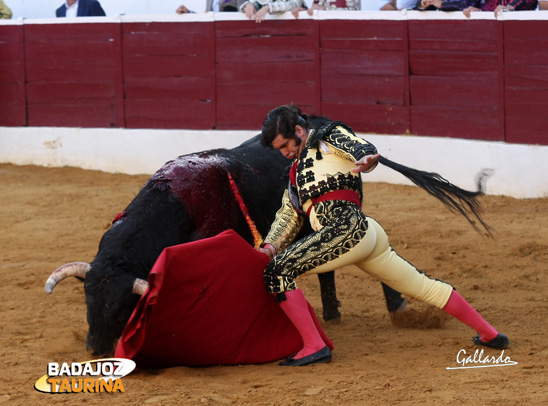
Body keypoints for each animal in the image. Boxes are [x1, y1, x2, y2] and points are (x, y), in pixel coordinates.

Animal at [45, 132, 404, 356]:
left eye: (122, 310)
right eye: (87, 301)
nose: (96, 350)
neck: (180, 203)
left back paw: (387, 306)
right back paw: (332, 312)